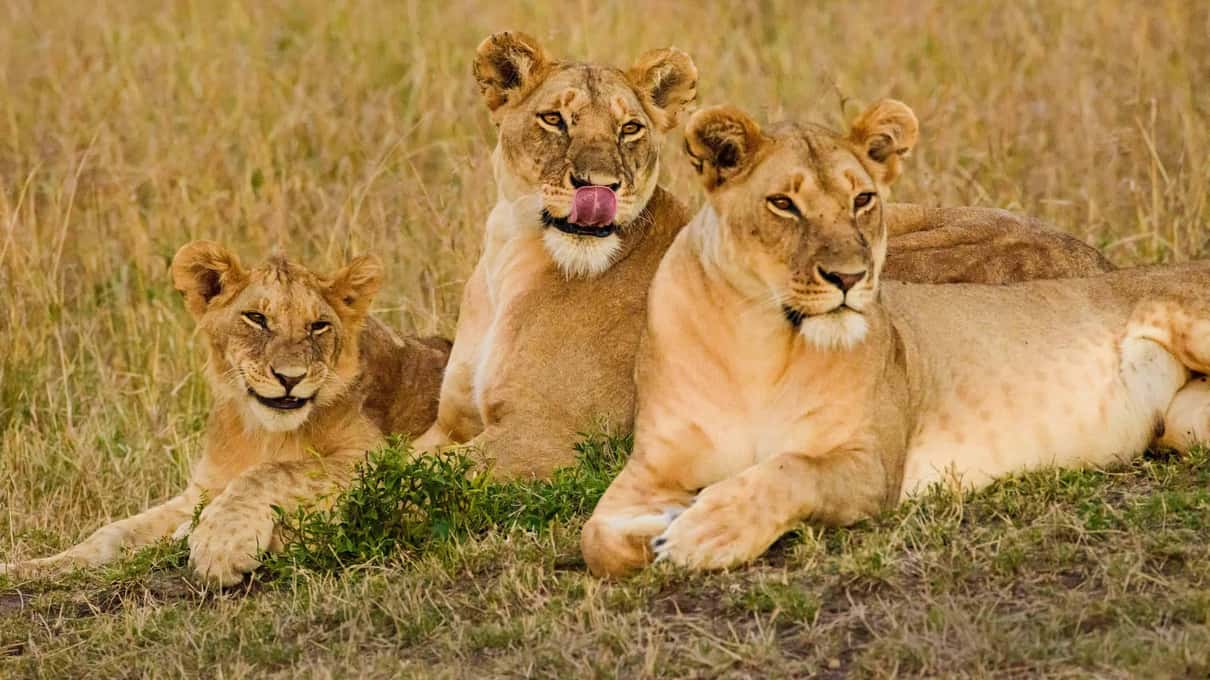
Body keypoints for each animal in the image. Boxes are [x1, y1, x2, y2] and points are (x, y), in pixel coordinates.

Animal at [2, 241, 450, 586]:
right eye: (256, 318)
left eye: (318, 326)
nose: (290, 378)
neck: (264, 432)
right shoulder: (202, 490)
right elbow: (111, 532)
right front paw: (29, 568)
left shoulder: (380, 457)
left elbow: (271, 472)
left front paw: (219, 546)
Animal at [415, 31, 1109, 479]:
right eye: (554, 120)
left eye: (629, 128)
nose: (600, 186)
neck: (513, 257)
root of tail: (1103, 266)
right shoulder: (451, 423)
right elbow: (398, 458)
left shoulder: (549, 436)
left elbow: (406, 480)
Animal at [581, 101, 1210, 576]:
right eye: (783, 203)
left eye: (863, 199)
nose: (849, 278)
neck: (757, 336)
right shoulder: (654, 464)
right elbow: (595, 537)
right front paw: (662, 527)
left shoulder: (872, 465)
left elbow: (789, 472)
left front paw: (706, 531)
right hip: (1184, 425)